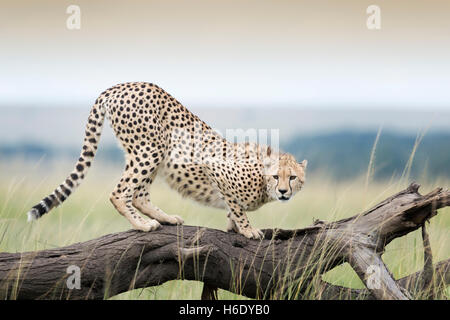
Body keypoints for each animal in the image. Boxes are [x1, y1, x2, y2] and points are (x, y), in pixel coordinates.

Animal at [26, 82, 308, 240]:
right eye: (276, 177)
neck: (262, 180)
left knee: (138, 194)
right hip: (152, 148)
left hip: (146, 151)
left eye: (293, 177)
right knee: (120, 193)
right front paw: (247, 229)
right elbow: (238, 207)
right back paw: (142, 225)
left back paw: (166, 219)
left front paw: (234, 227)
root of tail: (121, 85)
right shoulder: (215, 168)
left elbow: (233, 209)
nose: (284, 192)